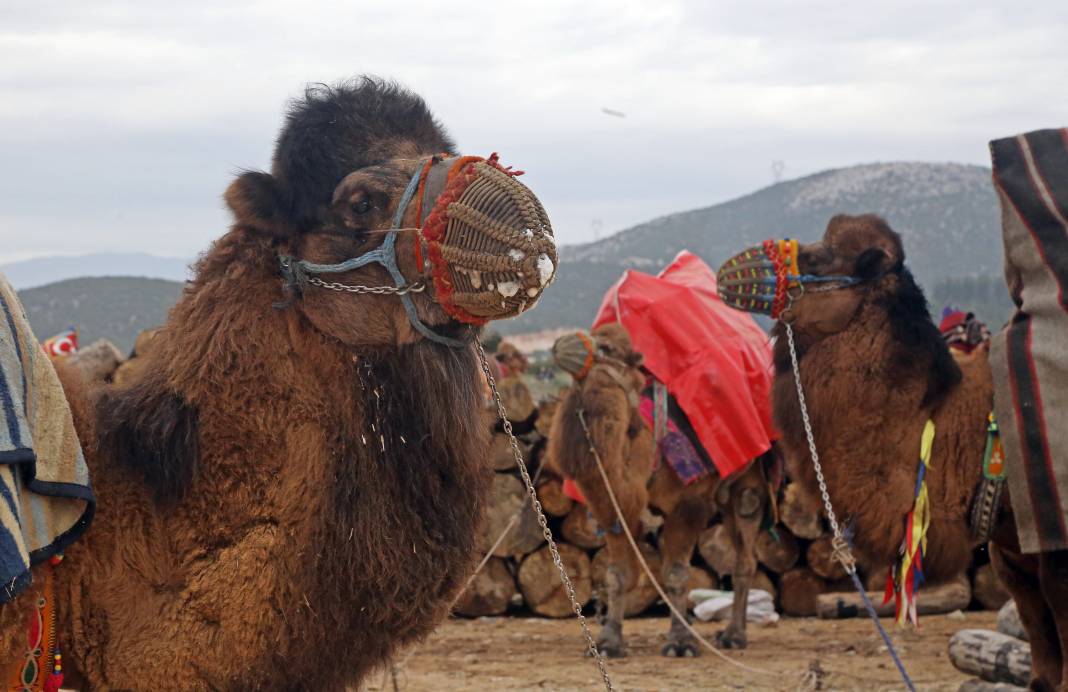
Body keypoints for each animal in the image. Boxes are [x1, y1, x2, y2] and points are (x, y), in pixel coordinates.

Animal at [546, 324, 773, 657]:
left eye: (608, 347)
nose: (562, 344)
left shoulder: (689, 504)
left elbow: (676, 574)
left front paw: (680, 642)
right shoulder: (614, 507)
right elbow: (617, 575)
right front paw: (608, 641)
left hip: (751, 479)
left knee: (745, 550)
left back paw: (734, 635)